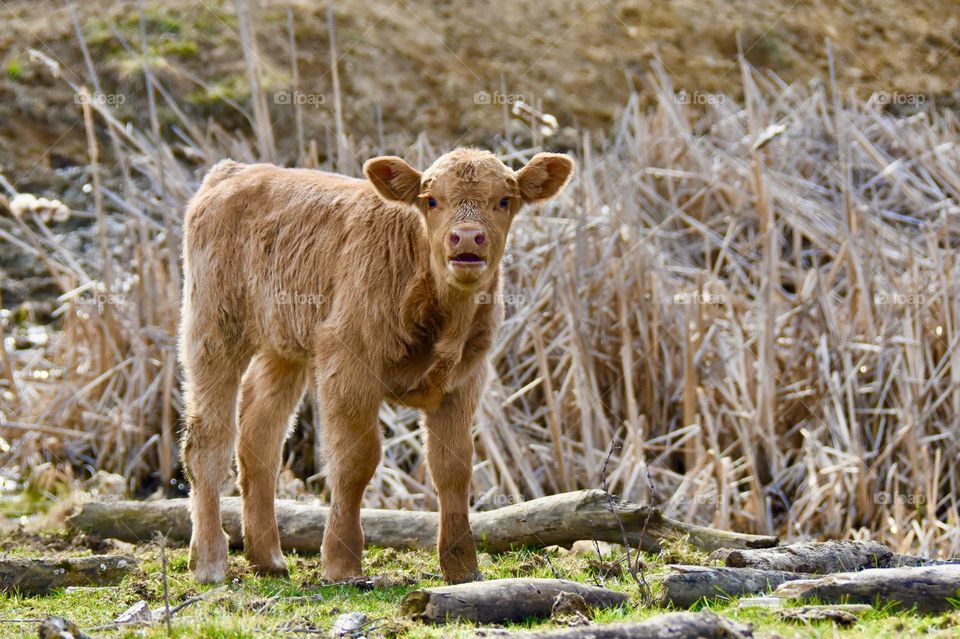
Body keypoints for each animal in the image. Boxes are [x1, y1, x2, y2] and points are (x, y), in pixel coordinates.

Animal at [177, 149, 572, 584]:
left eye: (504, 200)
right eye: (431, 200)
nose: (467, 238)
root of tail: (234, 171)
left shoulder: (466, 379)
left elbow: (453, 467)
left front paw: (462, 568)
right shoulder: (347, 362)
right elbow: (356, 460)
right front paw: (342, 564)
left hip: (282, 348)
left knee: (260, 441)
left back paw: (268, 560)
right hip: (213, 331)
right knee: (208, 441)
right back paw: (209, 562)